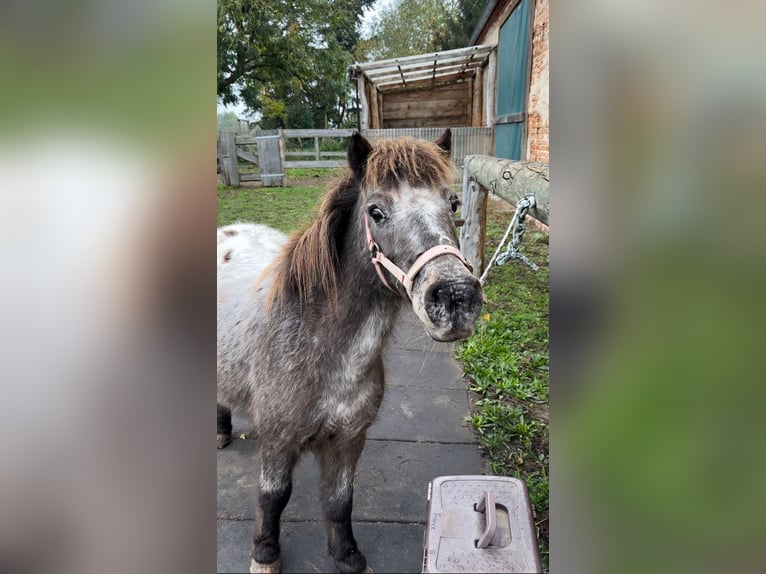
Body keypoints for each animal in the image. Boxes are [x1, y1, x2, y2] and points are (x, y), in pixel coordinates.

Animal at [218, 132, 480, 574]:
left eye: (453, 203)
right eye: (376, 211)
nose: (456, 297)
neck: (319, 347)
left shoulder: (349, 439)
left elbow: (340, 501)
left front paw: (348, 557)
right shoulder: (277, 440)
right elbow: (273, 496)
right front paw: (265, 555)